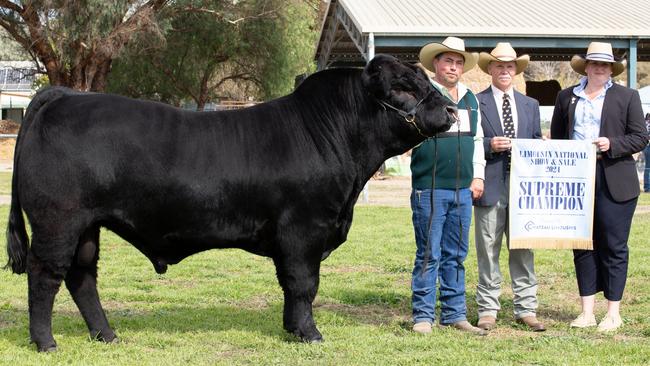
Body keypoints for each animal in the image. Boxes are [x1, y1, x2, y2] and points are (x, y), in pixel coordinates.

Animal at [5, 55, 454, 352]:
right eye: (402, 87)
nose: (451, 109)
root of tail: (64, 96)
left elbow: (290, 286)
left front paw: (292, 329)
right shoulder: (304, 231)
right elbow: (303, 284)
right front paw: (310, 334)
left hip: (87, 227)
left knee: (82, 277)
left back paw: (108, 336)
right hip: (58, 222)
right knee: (45, 276)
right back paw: (46, 343)